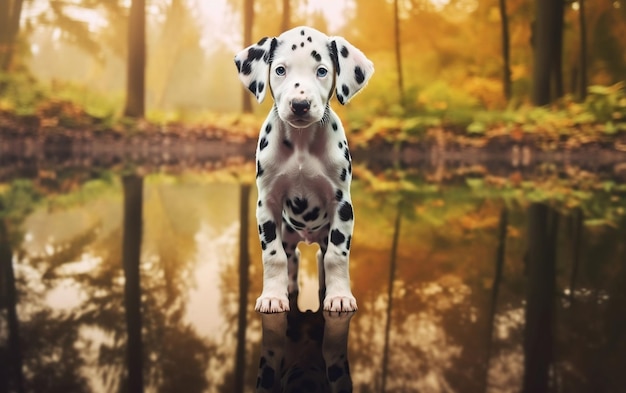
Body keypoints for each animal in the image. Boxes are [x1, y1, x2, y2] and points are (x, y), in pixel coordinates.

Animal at [233, 25, 370, 312]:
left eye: (322, 71)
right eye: (280, 70)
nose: (299, 104)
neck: (300, 142)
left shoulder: (342, 204)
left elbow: (337, 256)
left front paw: (339, 296)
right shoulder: (267, 203)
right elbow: (273, 256)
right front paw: (273, 297)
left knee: (322, 256)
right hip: (288, 235)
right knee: (291, 258)